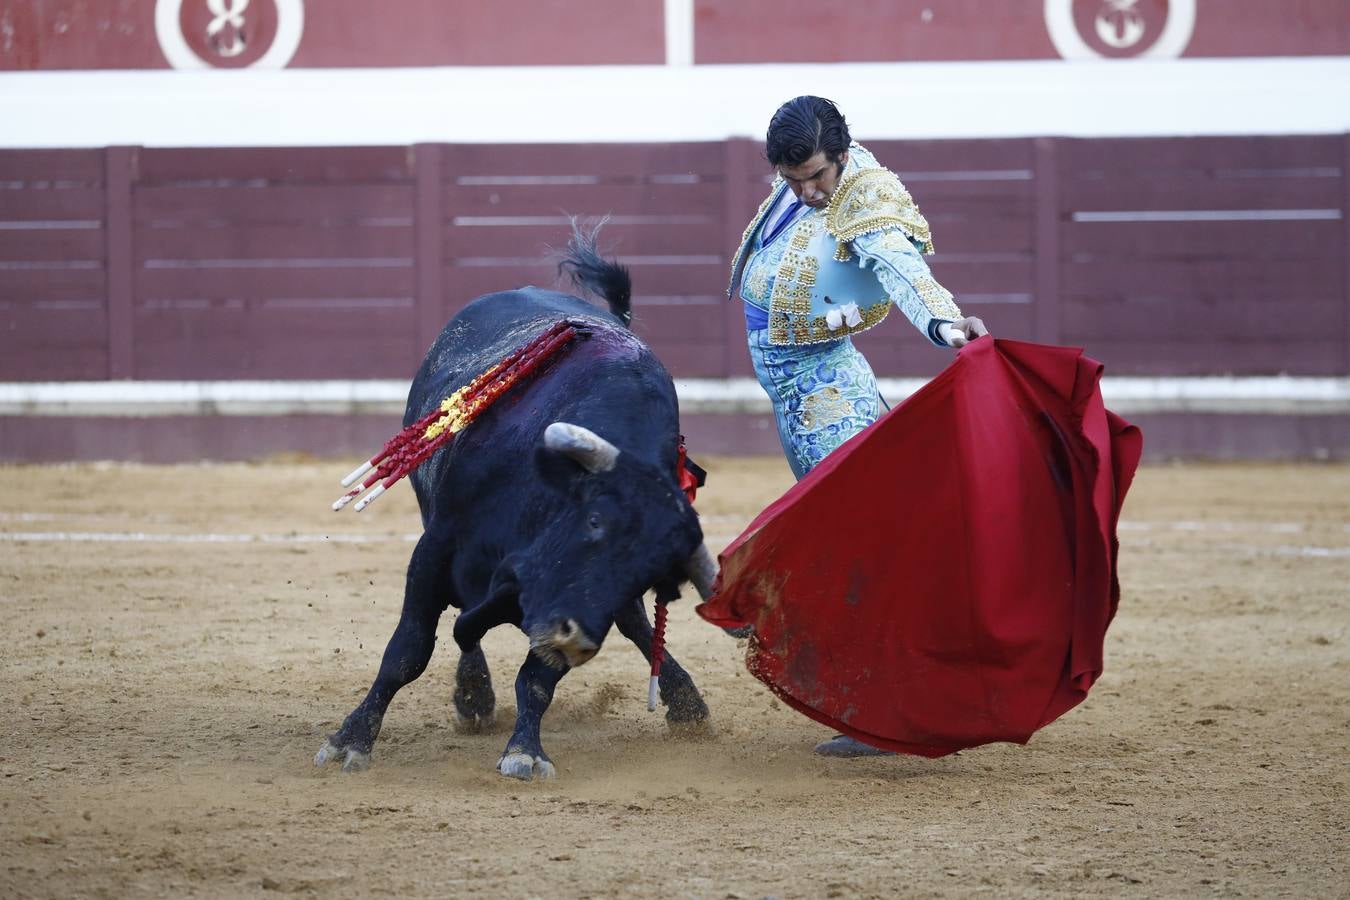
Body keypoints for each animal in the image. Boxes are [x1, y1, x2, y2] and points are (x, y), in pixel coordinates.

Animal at [314, 232, 718, 782]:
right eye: (594, 521)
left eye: (652, 573)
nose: (576, 640)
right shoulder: (435, 548)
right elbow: (407, 652)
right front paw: (350, 740)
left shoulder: (559, 604)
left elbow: (537, 679)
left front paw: (525, 749)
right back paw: (473, 696)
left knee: (631, 623)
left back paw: (686, 704)